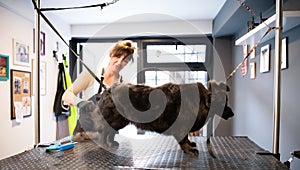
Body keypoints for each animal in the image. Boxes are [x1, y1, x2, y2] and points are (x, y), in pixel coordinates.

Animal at [73, 81, 234, 157]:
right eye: (224, 103)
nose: (232, 113)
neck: (201, 102)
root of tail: (107, 91)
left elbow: (186, 139)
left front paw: (190, 144)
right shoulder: (181, 129)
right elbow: (183, 140)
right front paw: (189, 149)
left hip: (119, 121)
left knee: (110, 132)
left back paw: (111, 143)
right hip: (115, 119)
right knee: (105, 132)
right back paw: (105, 144)